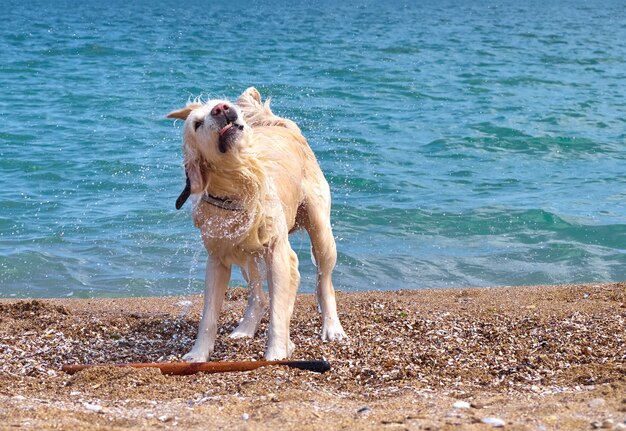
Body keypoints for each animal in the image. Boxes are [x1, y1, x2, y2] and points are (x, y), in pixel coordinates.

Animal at [165, 88, 346, 362]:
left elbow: (279, 312)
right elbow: (208, 315)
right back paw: (245, 328)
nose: (221, 108)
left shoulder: (278, 252)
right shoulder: (217, 259)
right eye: (197, 124)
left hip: (321, 230)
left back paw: (332, 327)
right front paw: (198, 354)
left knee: (324, 282)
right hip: (244, 251)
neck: (239, 187)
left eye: (219, 104)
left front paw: (277, 353)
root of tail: (281, 124)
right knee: (258, 295)